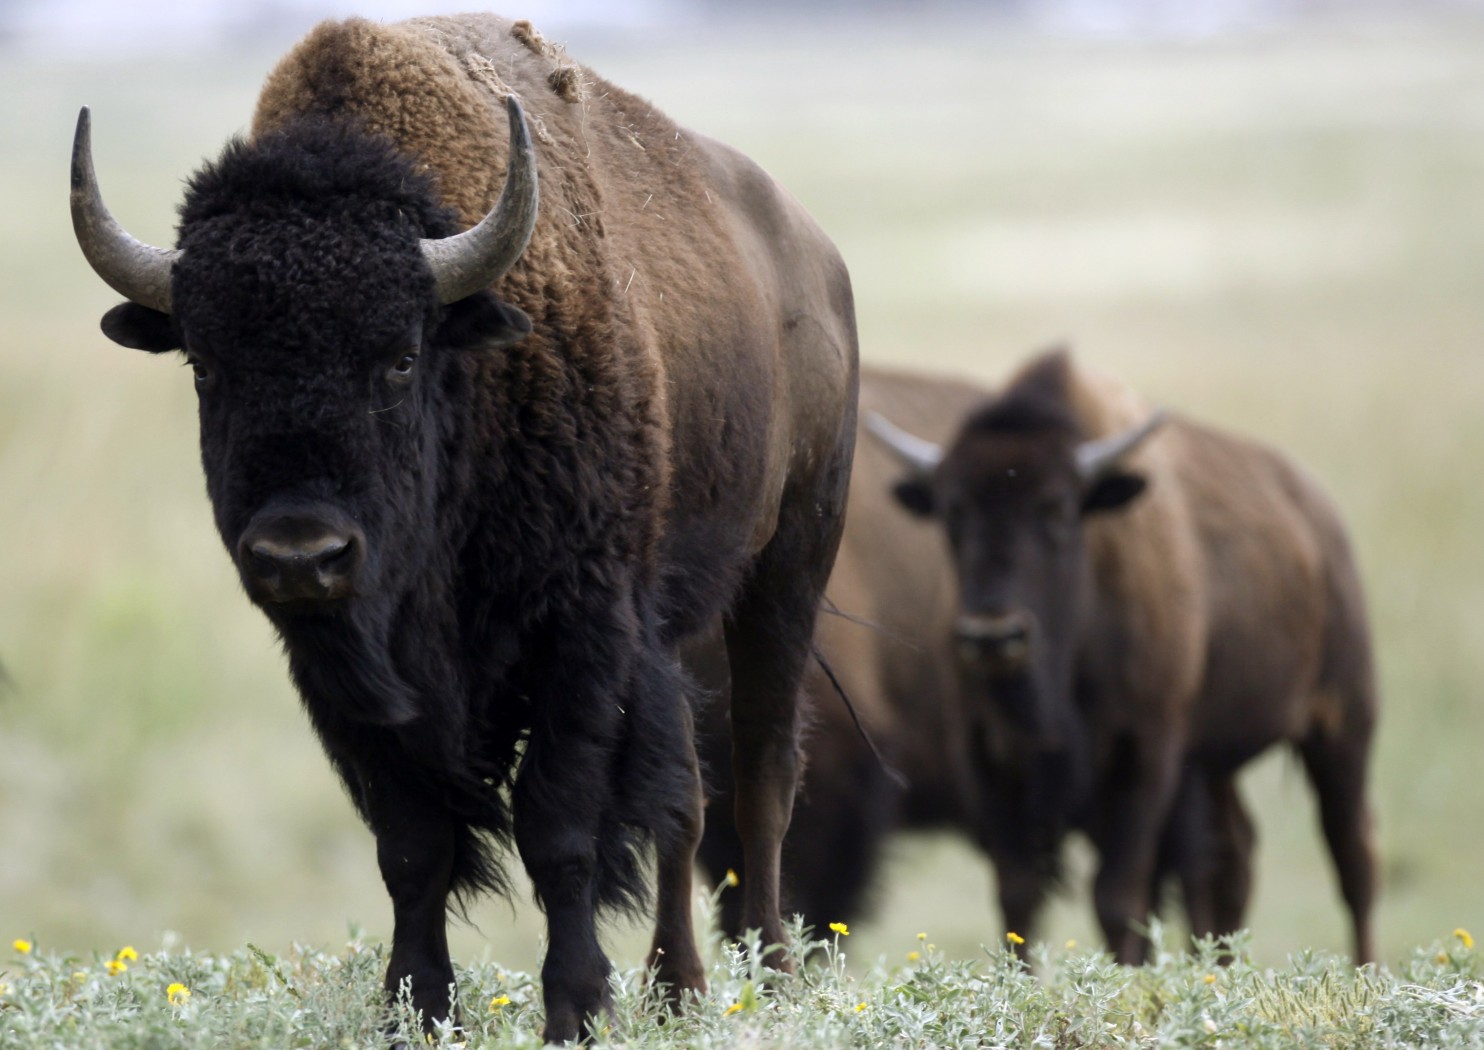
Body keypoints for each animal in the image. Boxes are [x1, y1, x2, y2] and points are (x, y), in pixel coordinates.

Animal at [69, 14, 860, 1044]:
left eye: (400, 357)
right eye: (206, 364)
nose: (299, 555)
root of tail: (817, 260)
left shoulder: (581, 632)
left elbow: (559, 829)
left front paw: (575, 1007)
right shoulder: (351, 676)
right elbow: (413, 845)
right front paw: (414, 1005)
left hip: (787, 570)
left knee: (761, 776)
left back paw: (767, 978)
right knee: (687, 797)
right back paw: (678, 991)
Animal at [700, 354, 1371, 966]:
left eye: (1058, 510)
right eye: (953, 513)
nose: (993, 635)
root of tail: (1317, 511)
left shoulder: (1141, 756)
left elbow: (1115, 897)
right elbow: (1020, 899)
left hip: (1338, 727)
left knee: (1350, 861)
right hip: (1210, 769)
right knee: (1229, 862)